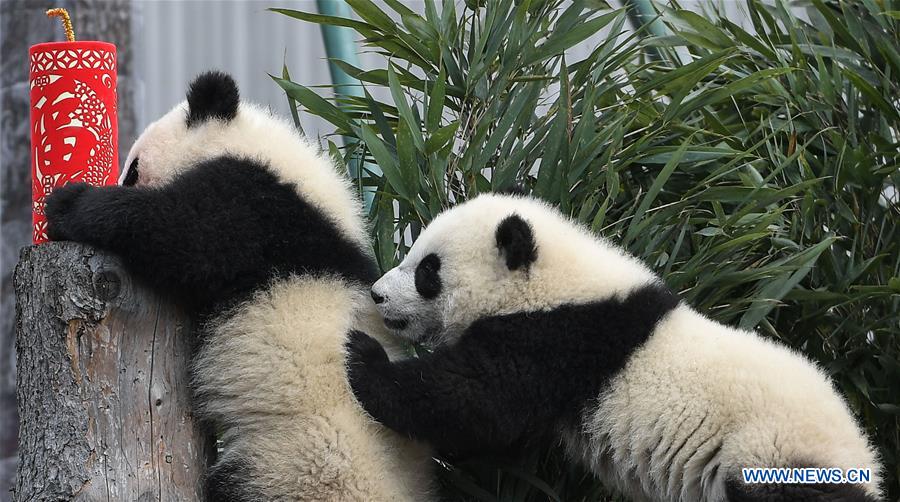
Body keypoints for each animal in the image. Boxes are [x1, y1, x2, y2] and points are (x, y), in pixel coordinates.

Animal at [44, 71, 432, 502]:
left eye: (132, 170)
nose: (121, 178)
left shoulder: (259, 207)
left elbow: (184, 234)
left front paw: (68, 205)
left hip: (298, 464)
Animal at [348, 192, 884, 502]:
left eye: (427, 271)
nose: (377, 294)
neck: (553, 281)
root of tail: (864, 464)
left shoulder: (557, 339)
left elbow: (474, 403)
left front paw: (362, 353)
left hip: (768, 458)